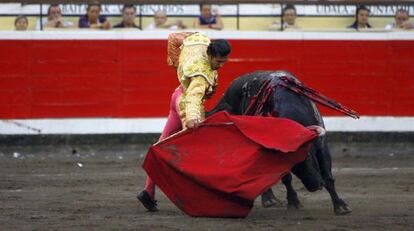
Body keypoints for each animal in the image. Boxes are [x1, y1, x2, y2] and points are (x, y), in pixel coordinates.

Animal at [209, 70, 358, 215]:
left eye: (308, 155)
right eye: (292, 164)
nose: (314, 185)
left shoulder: (322, 146)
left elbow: (328, 176)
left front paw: (341, 206)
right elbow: (286, 178)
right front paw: (294, 202)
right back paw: (269, 200)